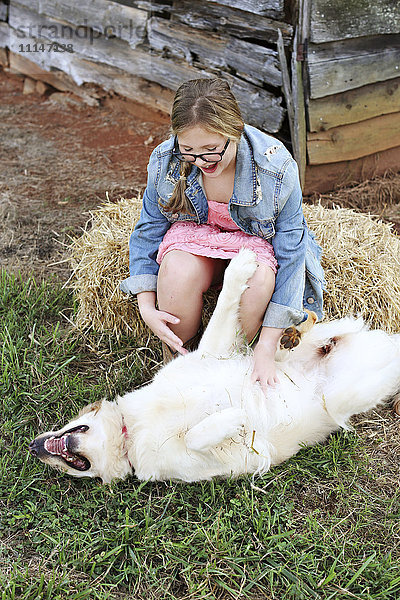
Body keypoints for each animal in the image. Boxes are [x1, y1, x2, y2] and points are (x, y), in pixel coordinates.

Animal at [28, 248, 400, 482]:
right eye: (72, 470)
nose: (33, 447)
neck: (129, 432)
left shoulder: (210, 353)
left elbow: (223, 306)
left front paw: (242, 264)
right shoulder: (222, 460)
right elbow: (197, 436)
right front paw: (233, 417)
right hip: (353, 391)